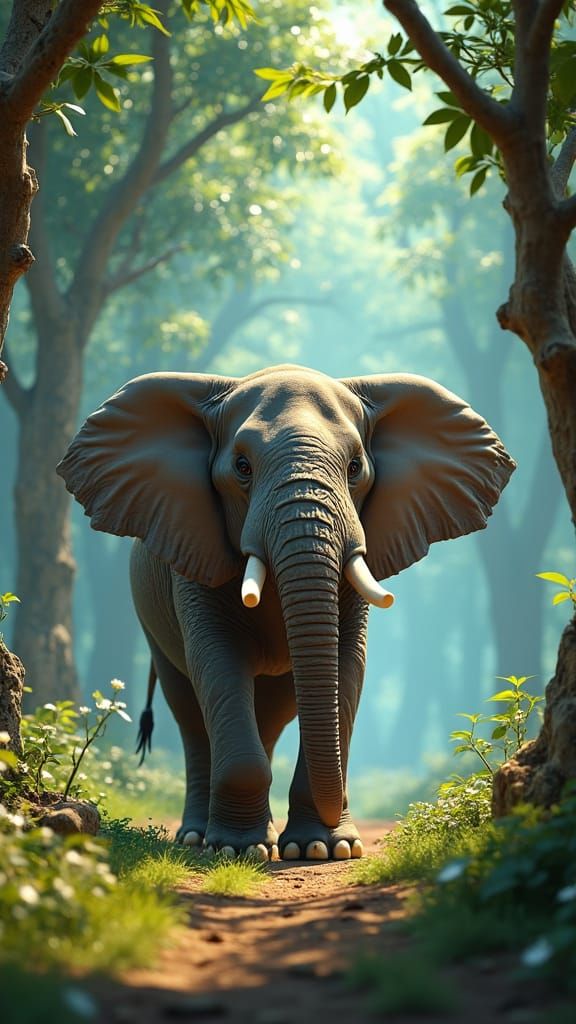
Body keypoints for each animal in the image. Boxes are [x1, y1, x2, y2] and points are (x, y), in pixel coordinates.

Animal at [57, 364, 515, 861]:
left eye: (355, 468)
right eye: (242, 467)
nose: (339, 828)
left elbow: (347, 663)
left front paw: (325, 849)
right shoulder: (195, 552)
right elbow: (217, 660)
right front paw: (237, 850)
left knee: (272, 715)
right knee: (189, 711)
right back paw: (198, 837)